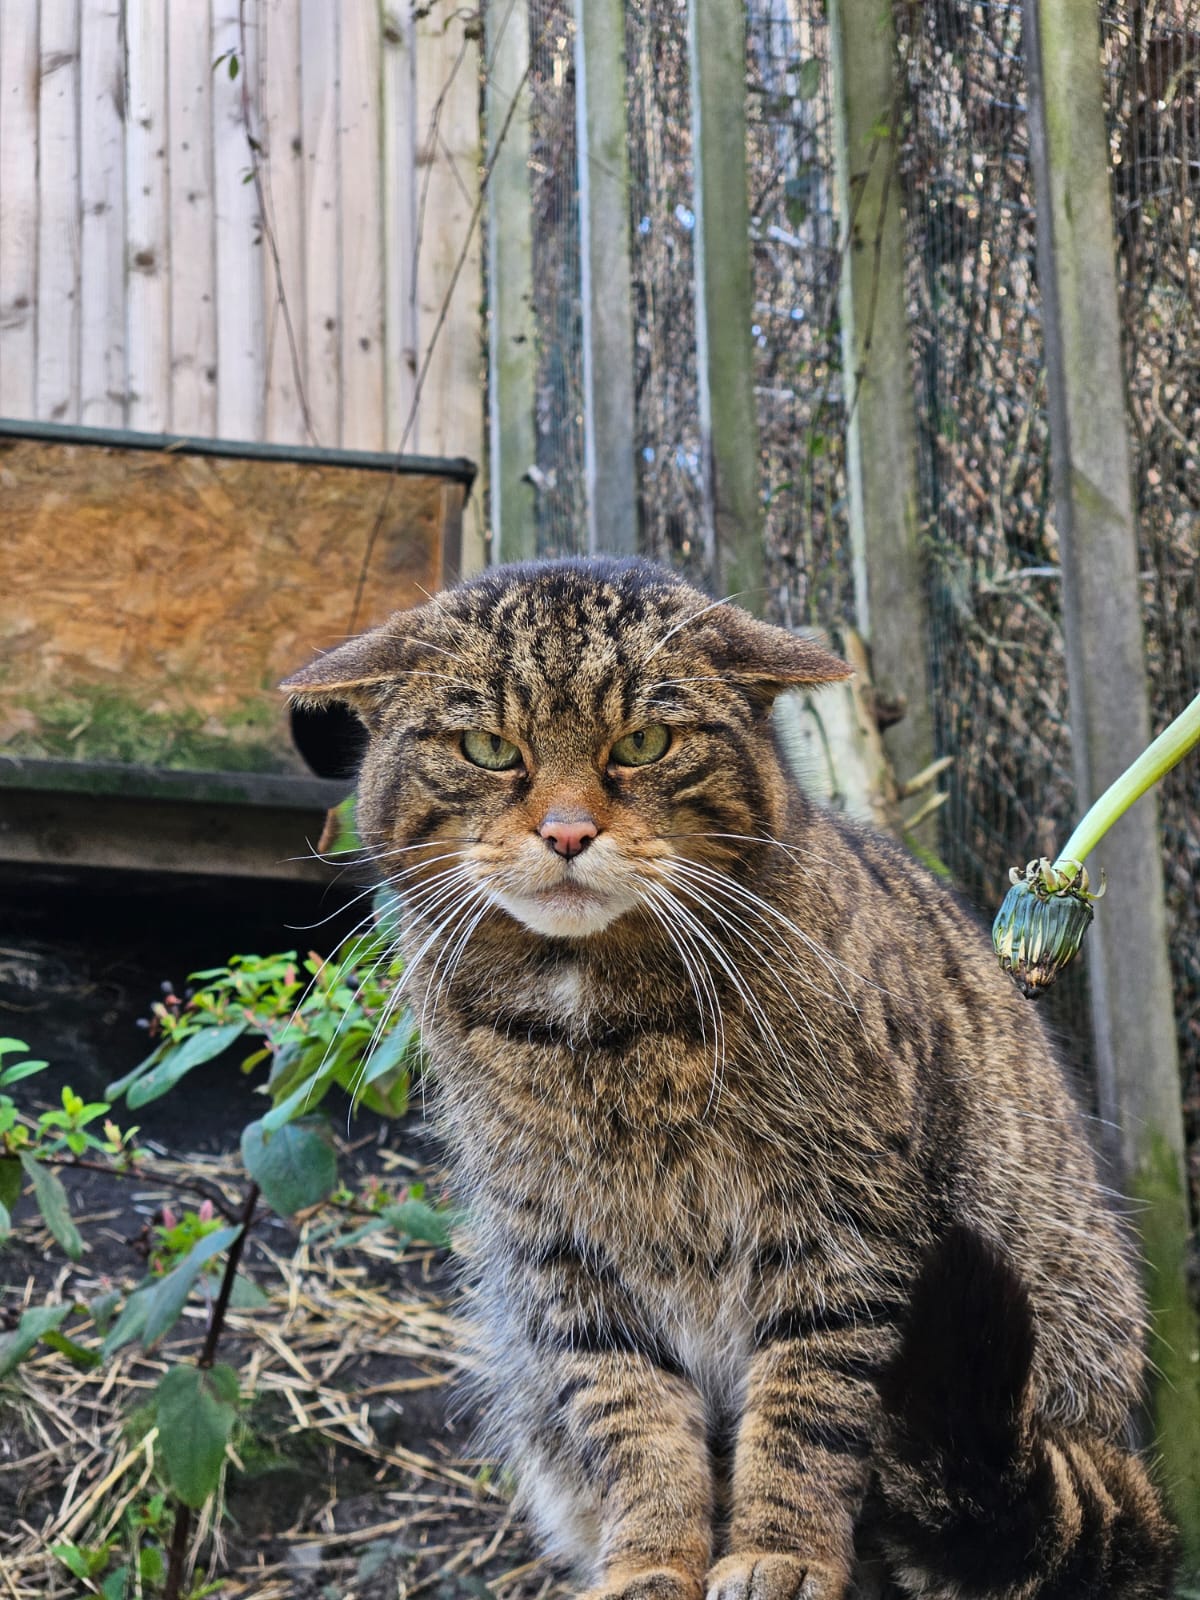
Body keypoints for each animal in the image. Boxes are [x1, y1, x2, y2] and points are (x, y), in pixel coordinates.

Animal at [289, 560, 1177, 1600]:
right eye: (487, 749)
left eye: (645, 742)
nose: (565, 833)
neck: (603, 1030)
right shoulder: (567, 1260)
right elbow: (636, 1430)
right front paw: (649, 1561)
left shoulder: (847, 1237)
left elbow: (806, 1415)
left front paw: (777, 1553)